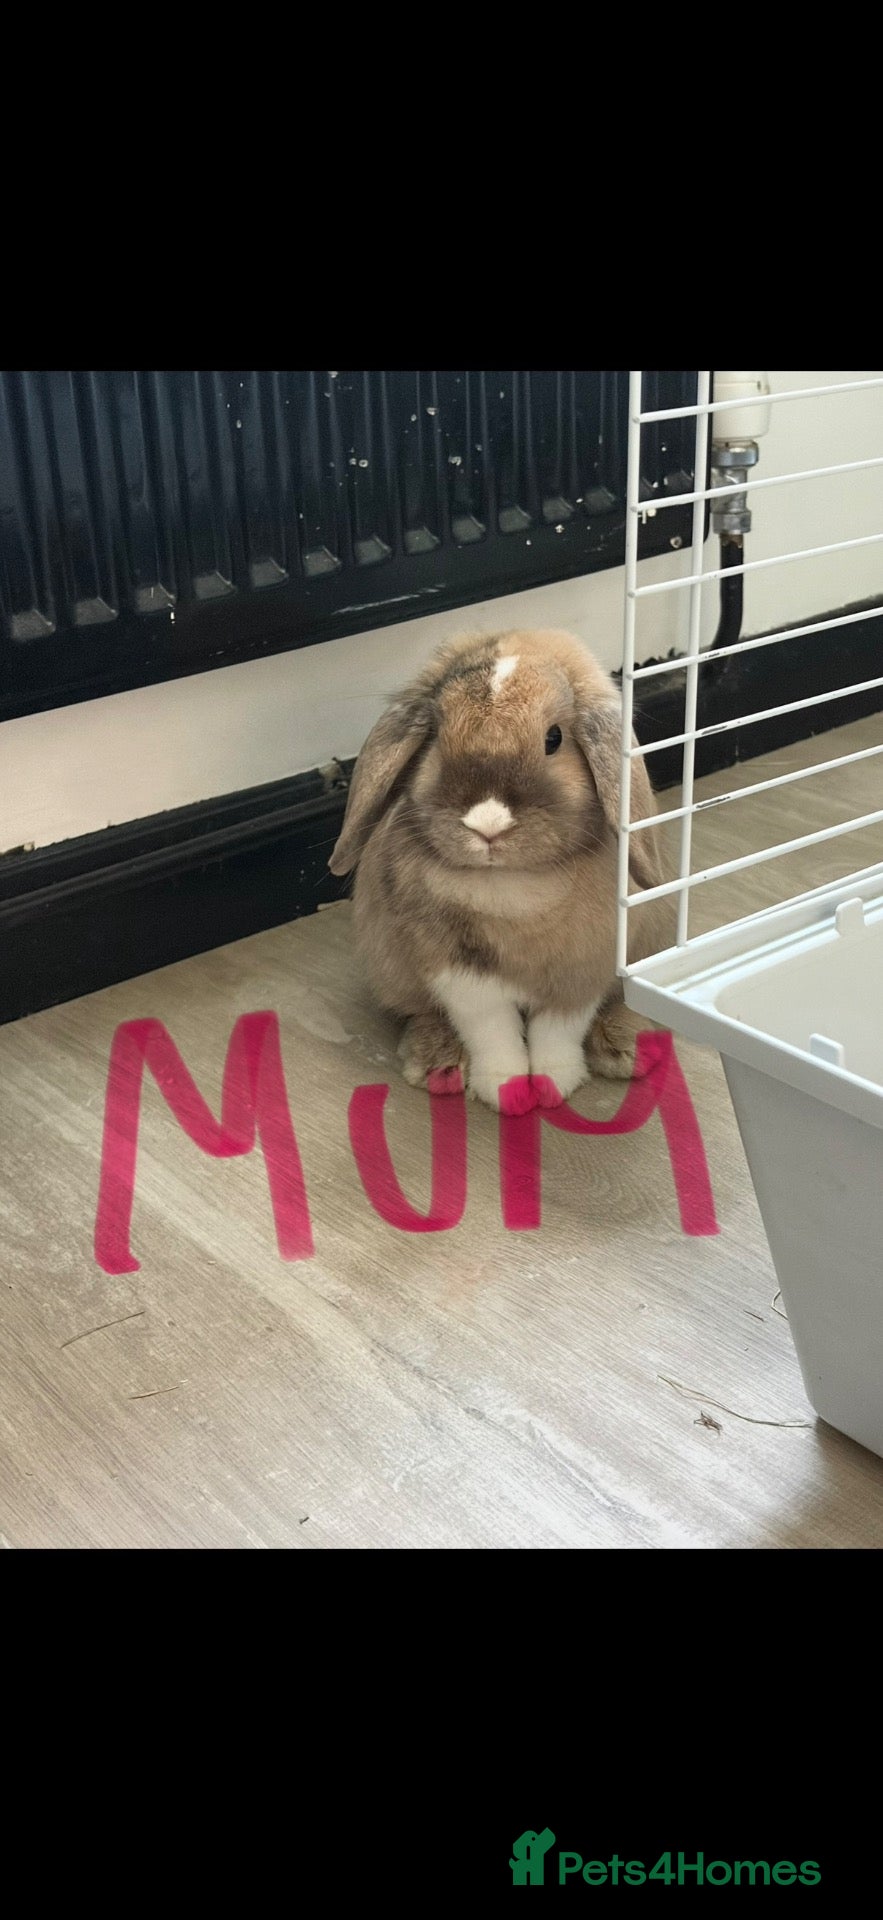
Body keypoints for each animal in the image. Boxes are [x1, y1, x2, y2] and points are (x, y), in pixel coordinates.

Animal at [328, 627, 673, 1112]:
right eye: (436, 735)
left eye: (554, 738)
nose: (486, 823)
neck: (510, 884)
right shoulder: (457, 970)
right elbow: (490, 1029)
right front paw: (506, 1090)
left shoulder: (584, 965)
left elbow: (559, 1029)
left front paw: (552, 1084)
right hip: (392, 971)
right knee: (422, 1012)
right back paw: (439, 1064)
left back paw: (627, 1048)